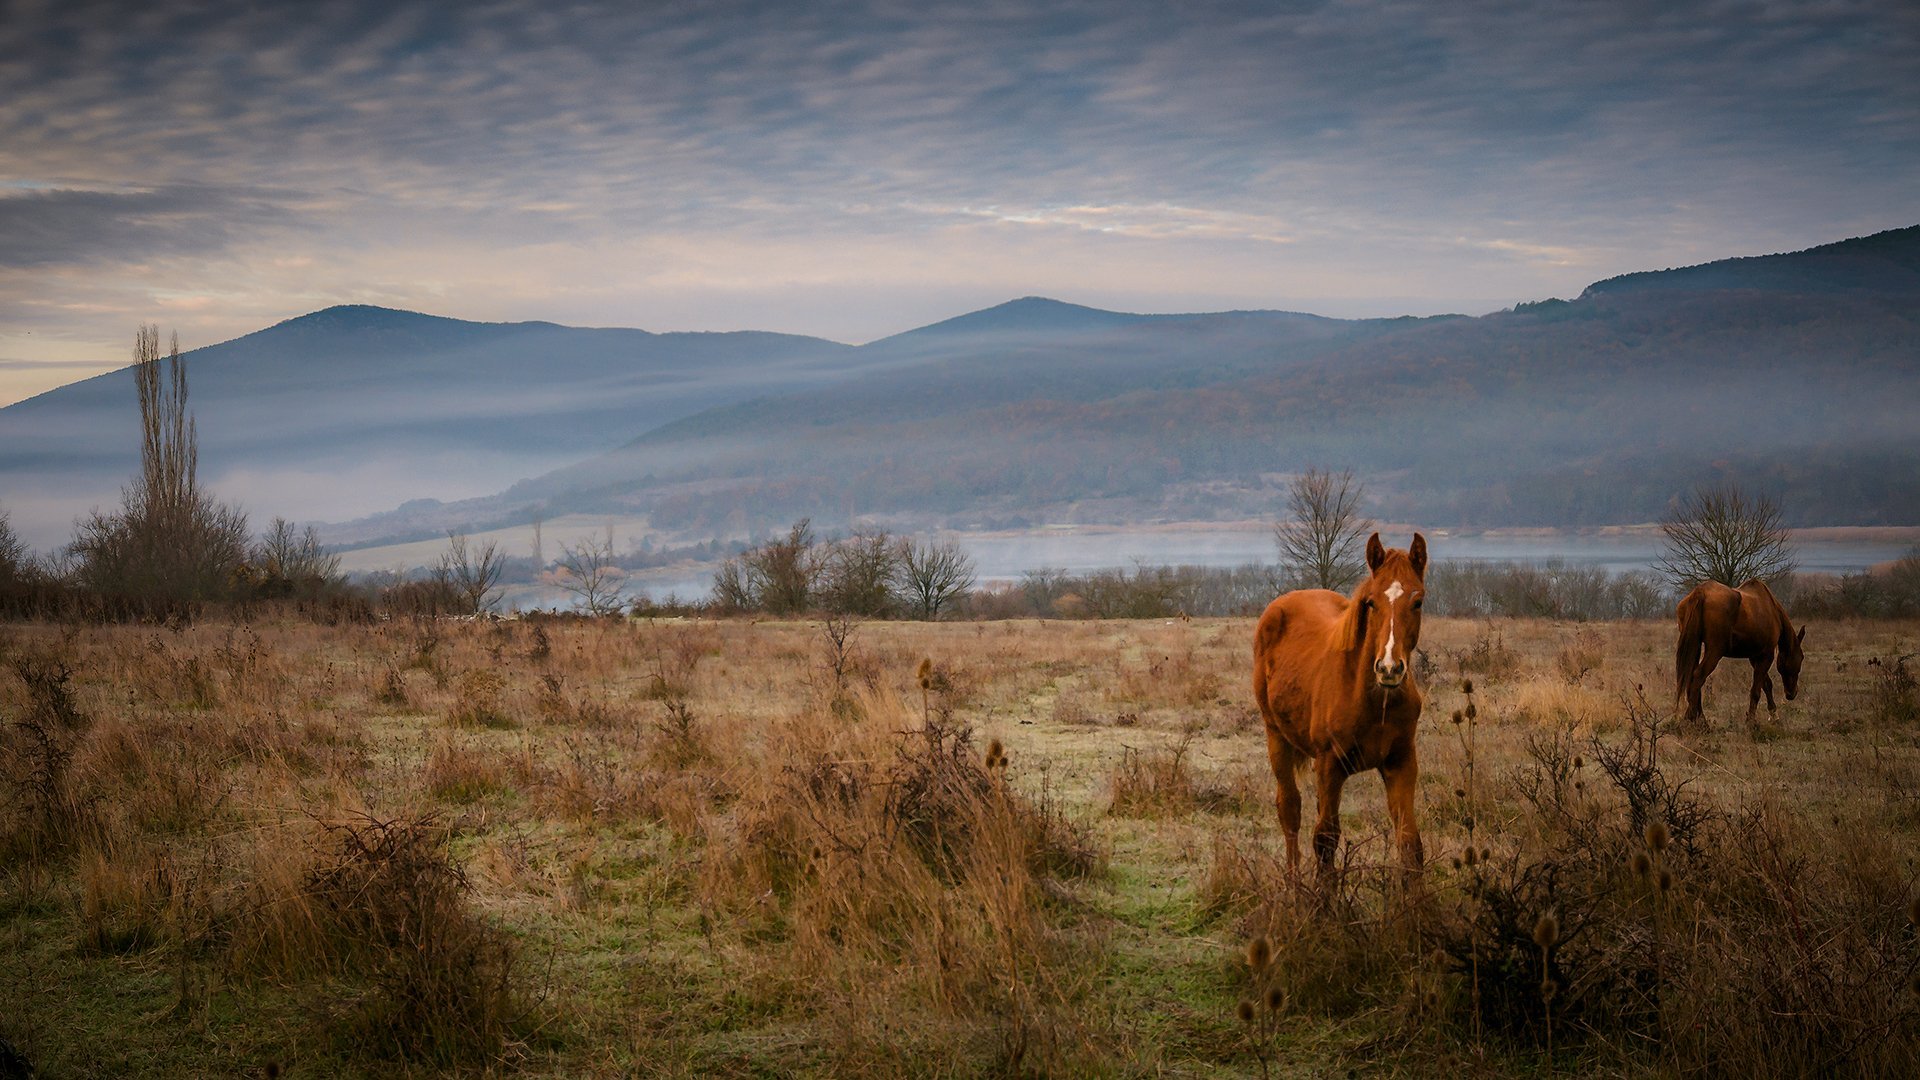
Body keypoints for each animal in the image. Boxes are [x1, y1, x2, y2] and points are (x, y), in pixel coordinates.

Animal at [1259, 530, 1428, 876]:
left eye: (1417, 602)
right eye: (1371, 602)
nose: (1389, 668)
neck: (1373, 700)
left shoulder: (1402, 763)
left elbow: (1410, 844)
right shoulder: (1329, 766)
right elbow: (1325, 842)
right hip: (1276, 736)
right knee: (1290, 810)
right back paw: (1293, 883)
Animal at [1674, 572, 1804, 722]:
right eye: (1801, 658)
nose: (1791, 693)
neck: (1772, 610)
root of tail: (1700, 592)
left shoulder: (1755, 656)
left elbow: (1766, 684)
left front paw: (1773, 715)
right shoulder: (1767, 655)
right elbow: (1756, 691)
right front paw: (1751, 721)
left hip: (1695, 647)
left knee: (1691, 678)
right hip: (1714, 651)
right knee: (1698, 676)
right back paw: (1698, 720)